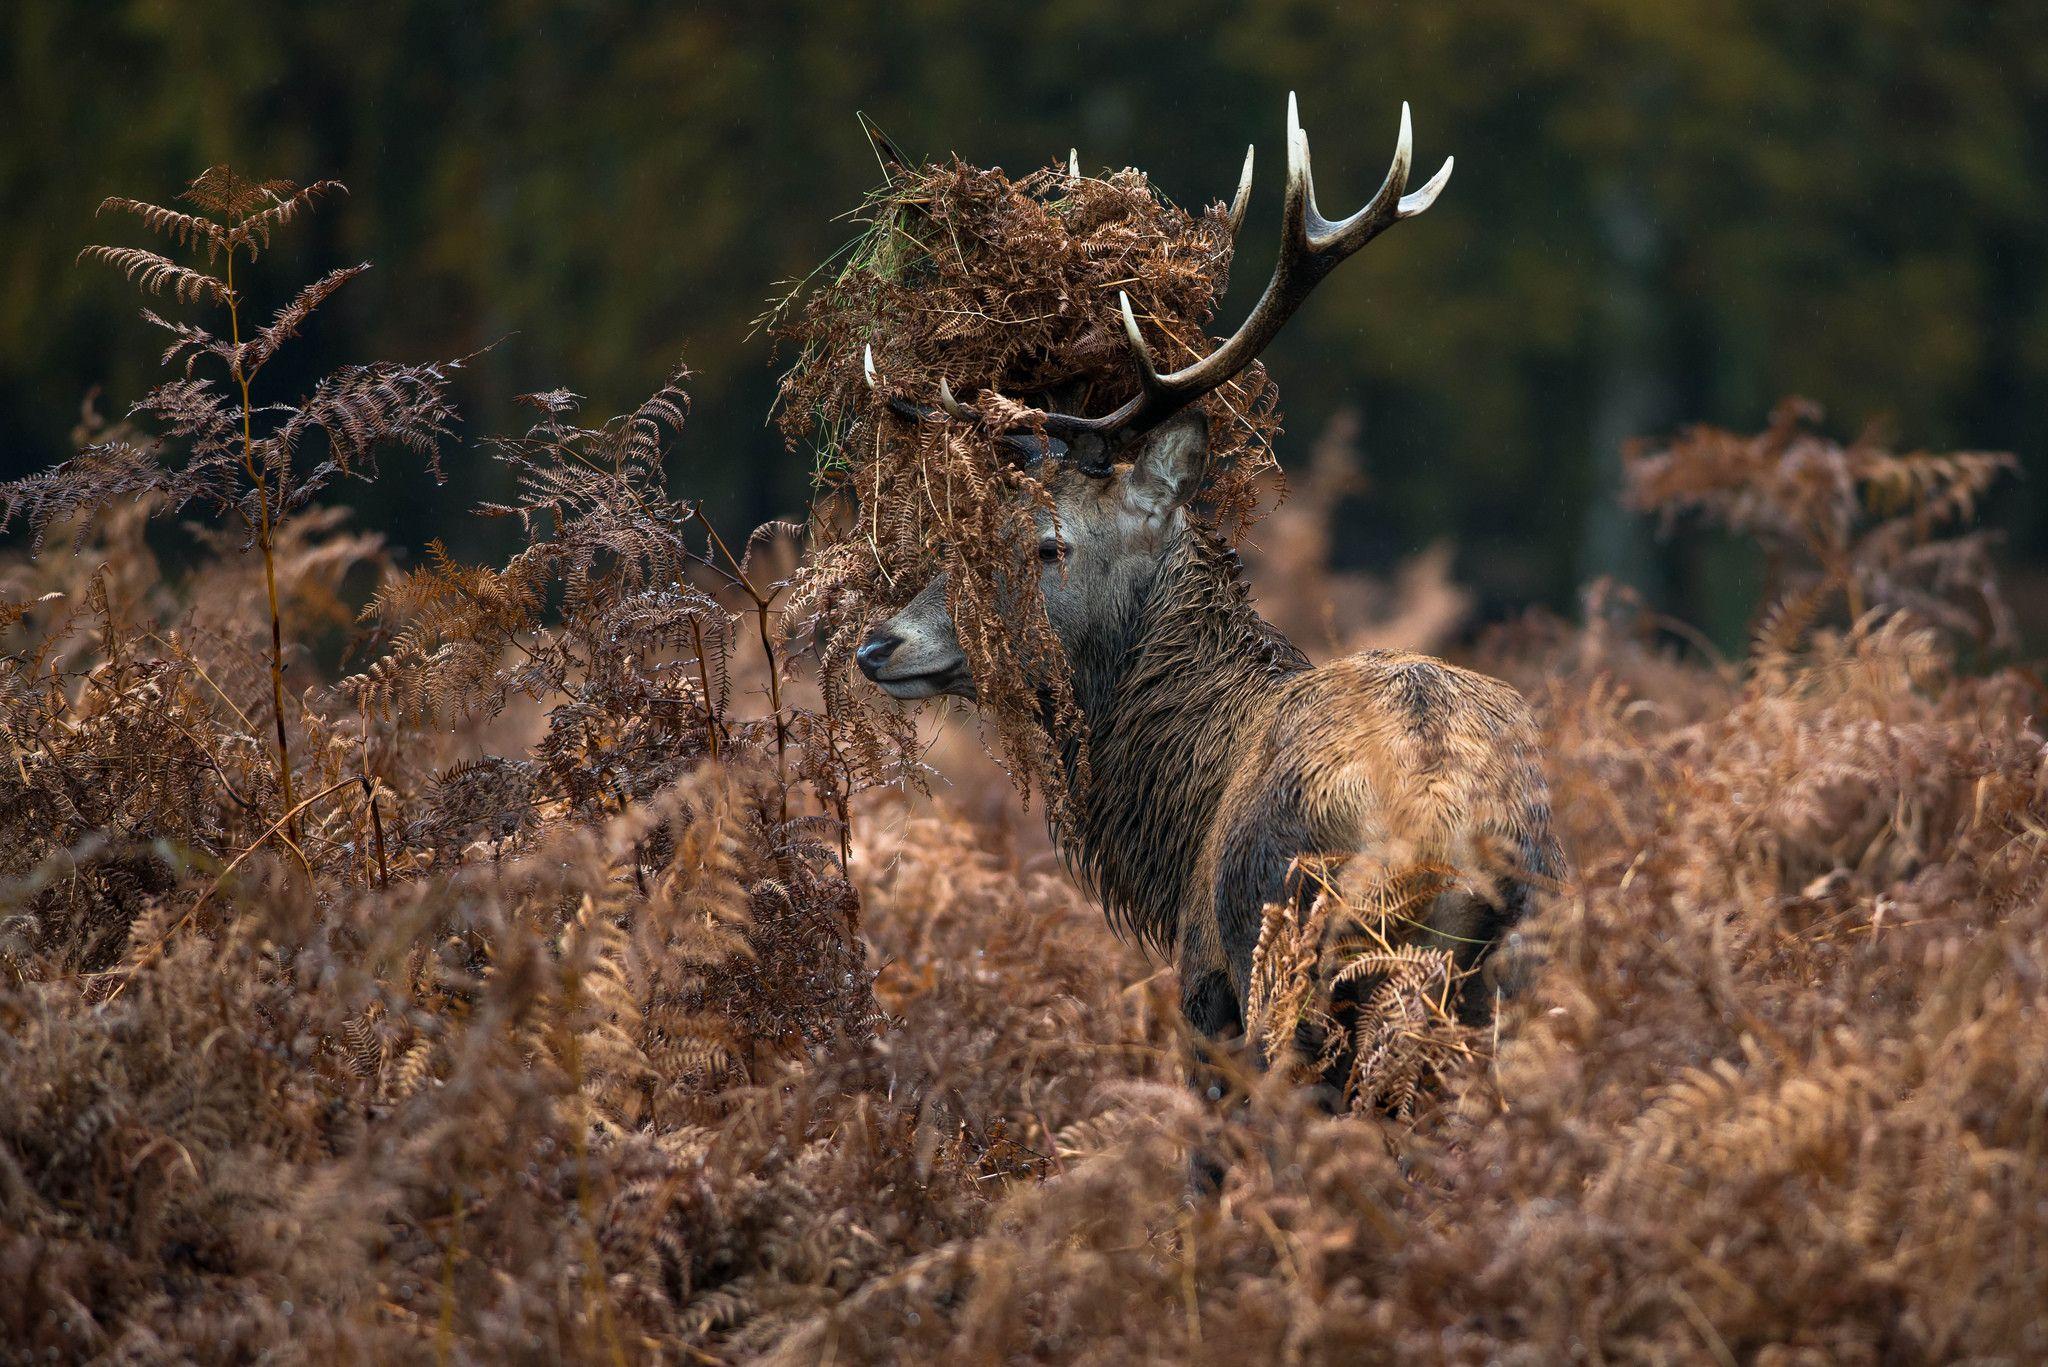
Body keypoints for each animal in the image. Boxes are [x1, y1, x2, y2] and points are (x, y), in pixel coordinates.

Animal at [856, 95, 1563, 1102]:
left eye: (1047, 544)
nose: (880, 644)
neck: (1175, 828)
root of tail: (1442, 833)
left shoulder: (1204, 990)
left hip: (1292, 974)